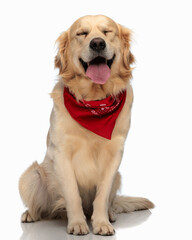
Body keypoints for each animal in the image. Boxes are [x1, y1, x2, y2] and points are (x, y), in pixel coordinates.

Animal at [19, 14, 154, 234]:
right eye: (81, 33)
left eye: (107, 31)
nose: (97, 43)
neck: (94, 101)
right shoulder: (61, 152)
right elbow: (72, 193)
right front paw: (77, 224)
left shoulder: (114, 154)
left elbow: (102, 195)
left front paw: (101, 223)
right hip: (32, 174)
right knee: (41, 207)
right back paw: (31, 214)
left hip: (118, 177)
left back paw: (110, 213)